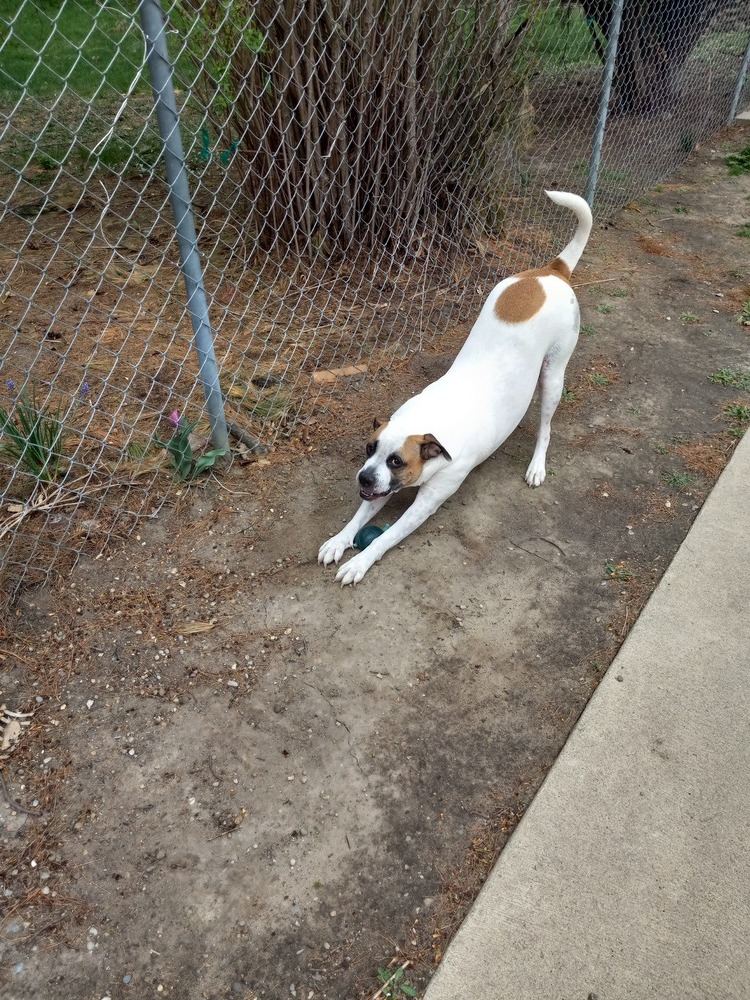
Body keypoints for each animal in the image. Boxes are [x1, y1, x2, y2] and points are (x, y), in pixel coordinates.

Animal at [320, 191, 596, 584]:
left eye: (396, 460)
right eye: (370, 448)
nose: (363, 476)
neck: (430, 420)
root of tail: (552, 270)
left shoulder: (425, 502)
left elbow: (385, 538)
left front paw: (359, 562)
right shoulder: (382, 489)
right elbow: (359, 515)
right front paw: (339, 540)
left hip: (553, 376)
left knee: (545, 427)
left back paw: (537, 466)